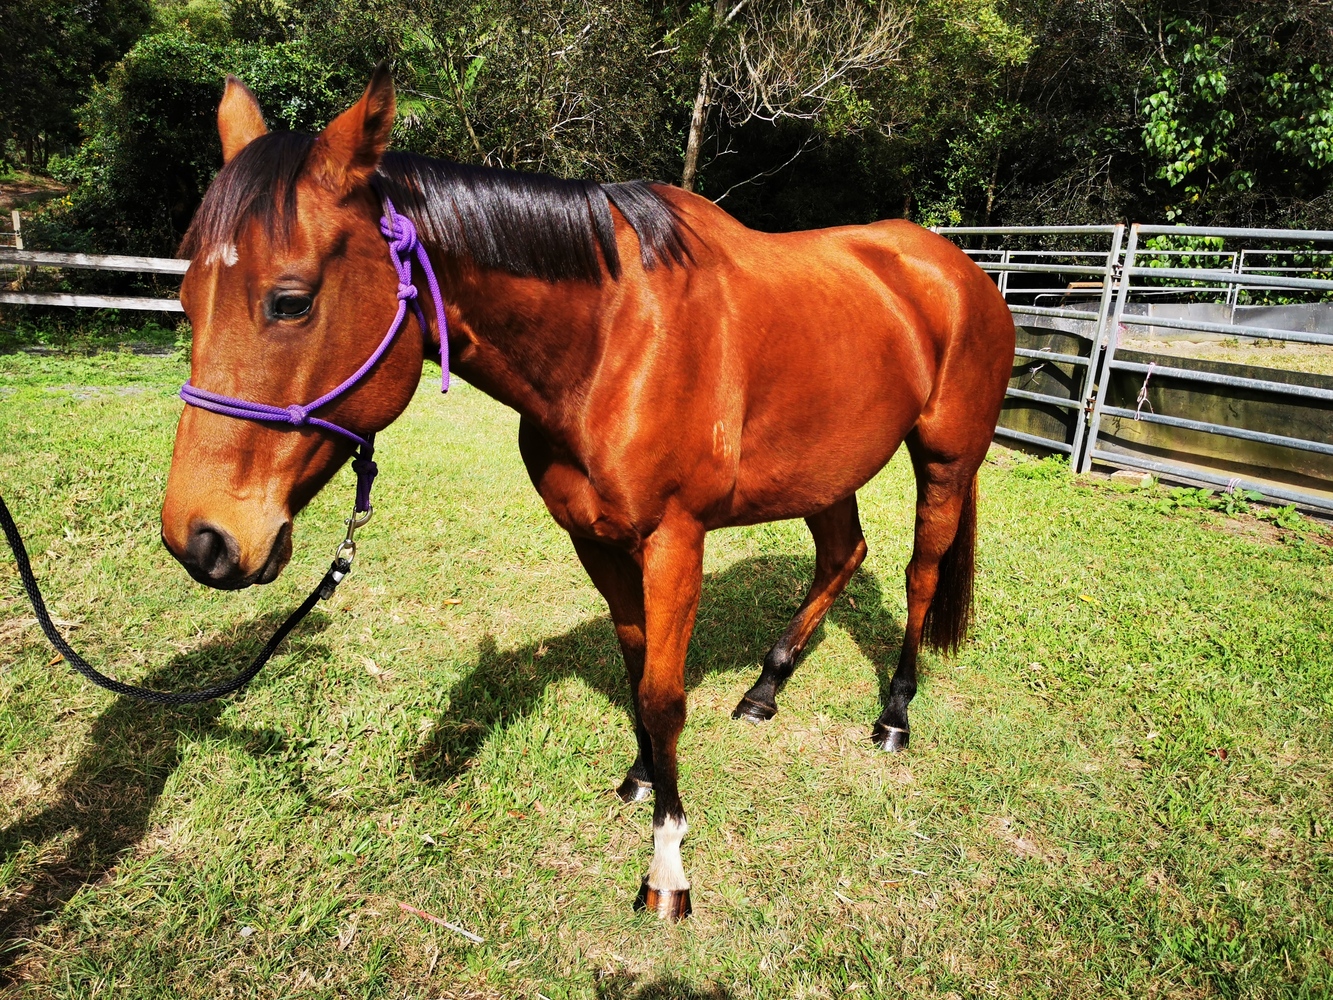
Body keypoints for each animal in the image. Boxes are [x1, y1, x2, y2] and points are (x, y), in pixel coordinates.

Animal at [160, 66, 1015, 921]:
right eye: (187, 299)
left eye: (291, 300)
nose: (200, 539)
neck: (614, 340)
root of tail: (962, 271)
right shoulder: (595, 537)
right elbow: (635, 666)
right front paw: (642, 776)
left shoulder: (674, 539)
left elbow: (664, 693)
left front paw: (667, 866)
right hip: (824, 469)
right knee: (843, 554)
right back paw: (764, 689)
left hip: (943, 460)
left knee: (918, 573)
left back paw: (894, 715)